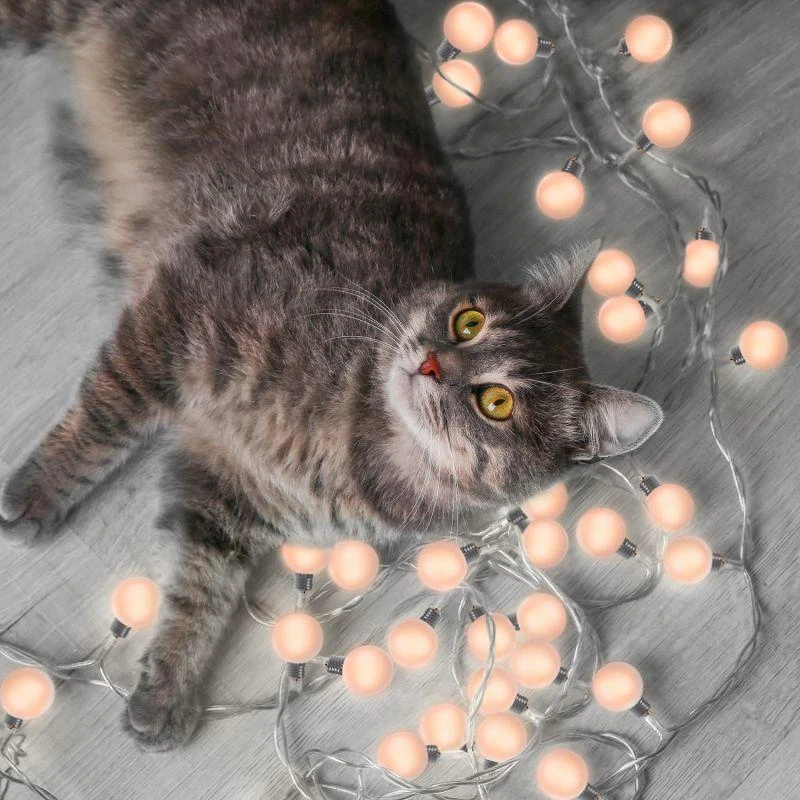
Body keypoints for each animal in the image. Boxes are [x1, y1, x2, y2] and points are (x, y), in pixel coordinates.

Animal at [0, 0, 662, 751]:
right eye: (467, 322)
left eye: (496, 402)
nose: (430, 362)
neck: (353, 432)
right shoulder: (180, 317)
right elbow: (104, 418)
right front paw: (36, 493)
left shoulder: (231, 494)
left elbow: (201, 591)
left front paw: (167, 686)